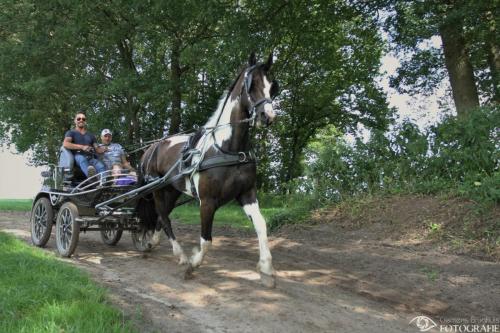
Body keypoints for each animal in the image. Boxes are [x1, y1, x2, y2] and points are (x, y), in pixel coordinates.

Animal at [139, 53, 280, 286]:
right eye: (251, 86)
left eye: (272, 87)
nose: (267, 116)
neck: (228, 148)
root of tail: (152, 148)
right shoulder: (207, 201)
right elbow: (206, 240)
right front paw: (193, 265)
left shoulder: (247, 194)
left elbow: (261, 225)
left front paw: (267, 268)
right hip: (157, 190)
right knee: (164, 217)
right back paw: (180, 254)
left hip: (172, 191)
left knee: (161, 217)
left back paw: (156, 244)